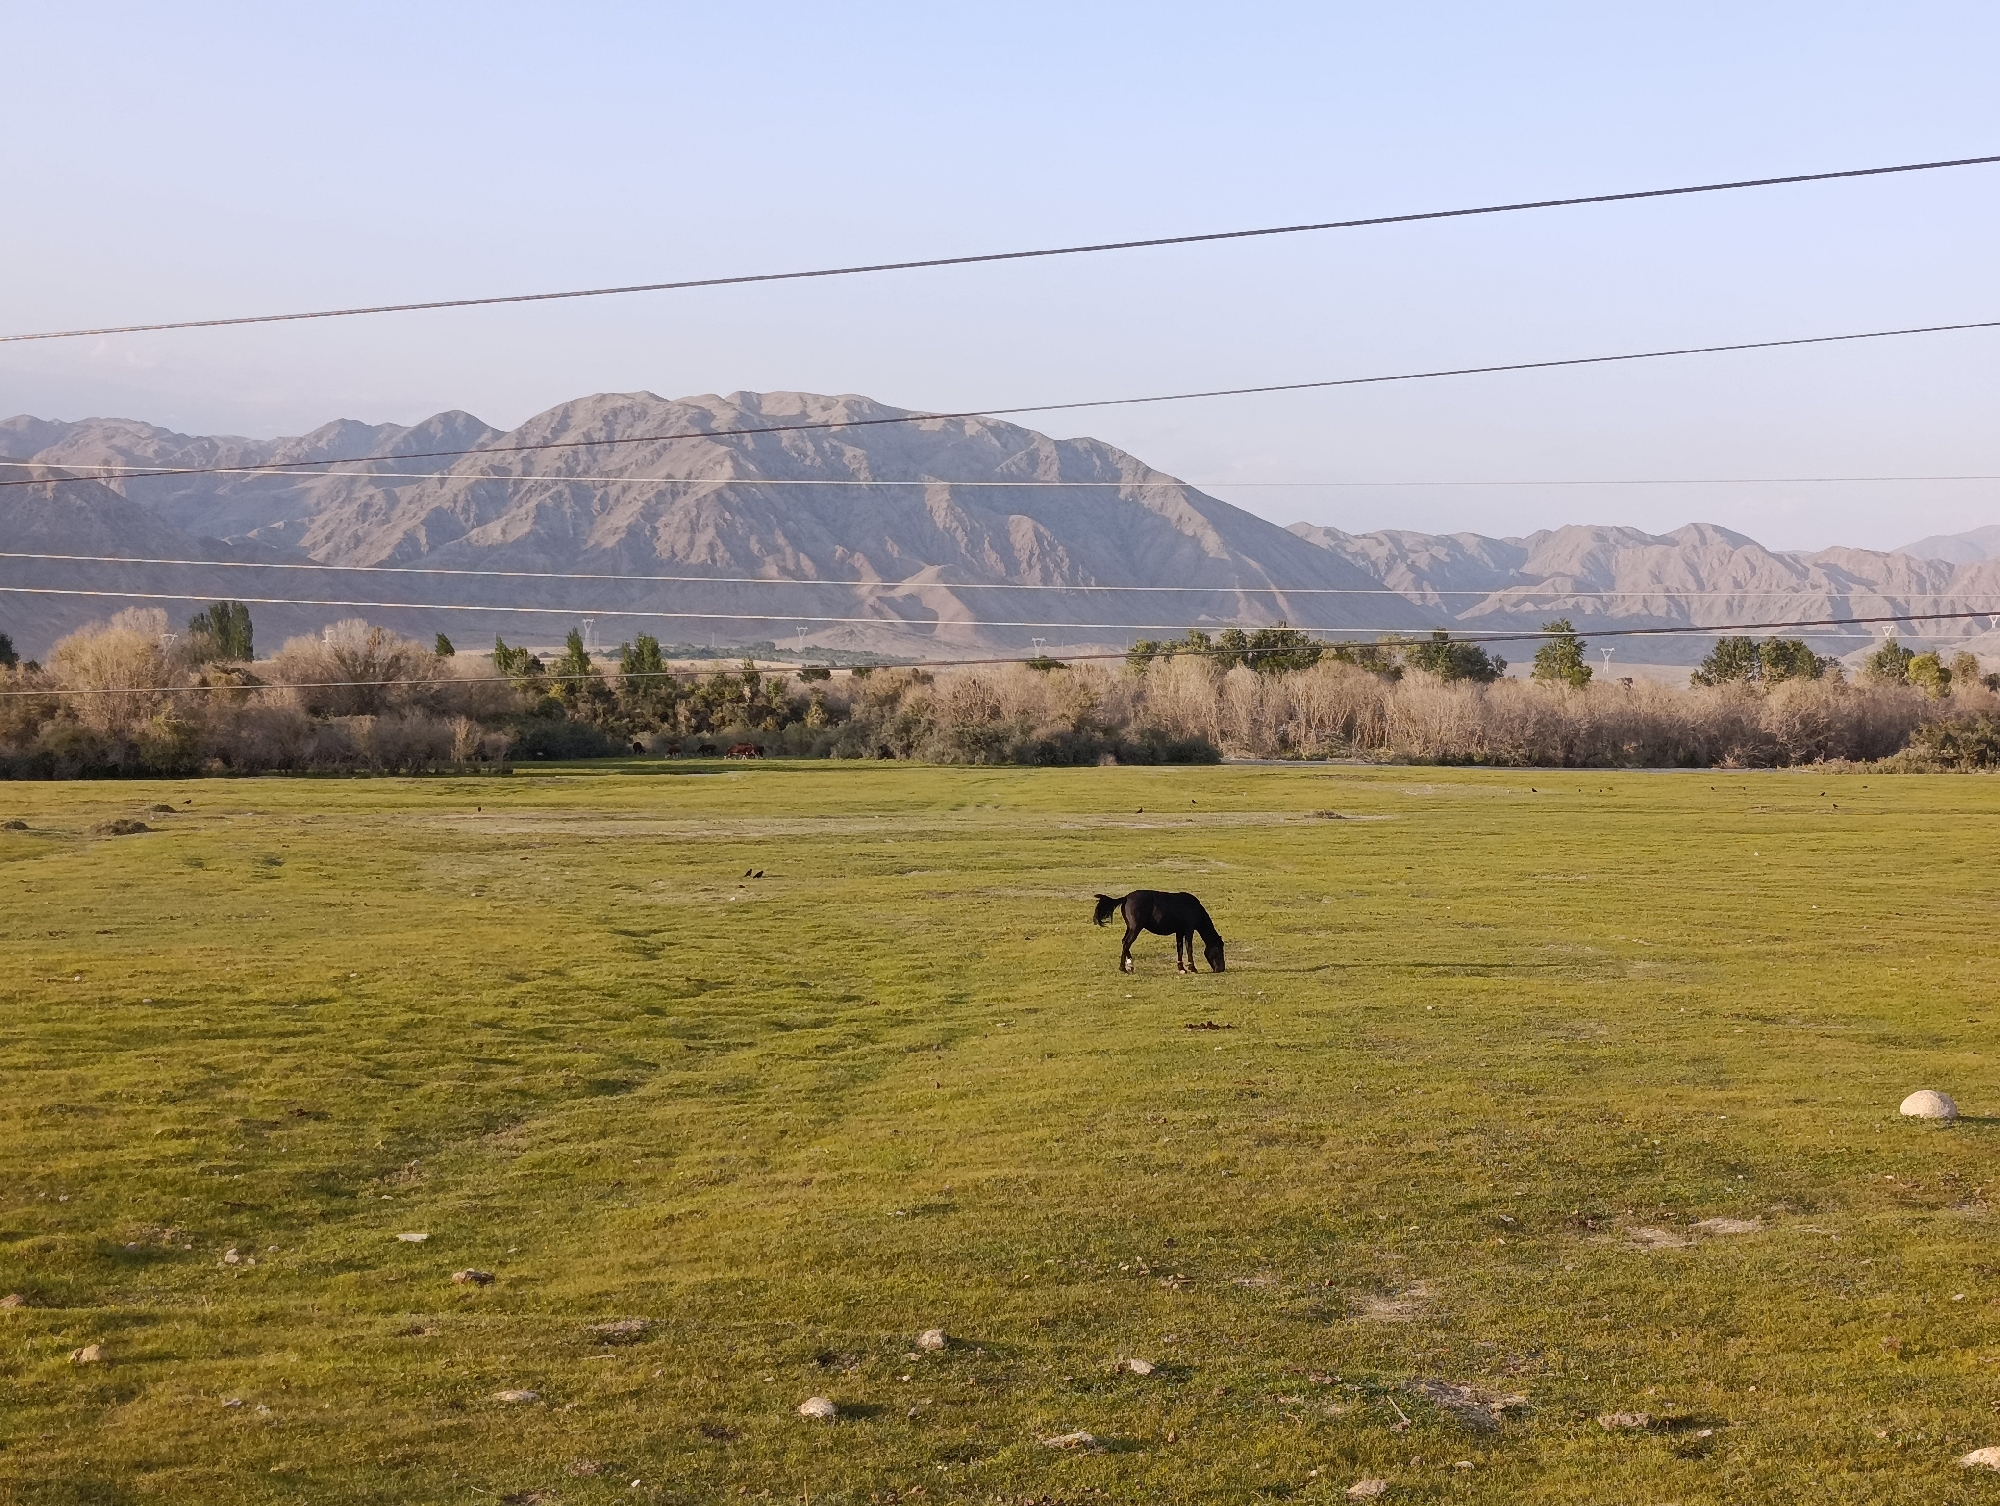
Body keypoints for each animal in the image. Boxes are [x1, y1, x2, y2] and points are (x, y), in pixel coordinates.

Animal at [1093, 890, 1225, 974]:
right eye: (1219, 949)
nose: (1221, 969)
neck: (1193, 907)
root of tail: (1125, 898)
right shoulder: (1189, 929)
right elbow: (1189, 948)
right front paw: (1193, 968)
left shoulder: (1179, 931)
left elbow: (1180, 949)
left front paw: (1181, 968)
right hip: (1135, 928)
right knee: (1126, 943)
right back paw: (1124, 968)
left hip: (1130, 928)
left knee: (1124, 942)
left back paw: (1130, 965)